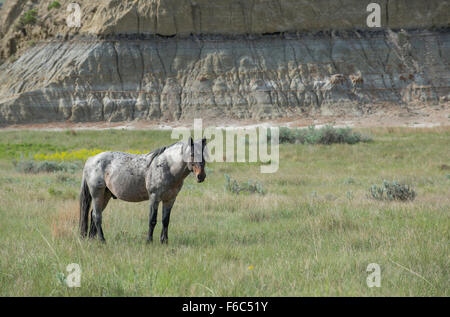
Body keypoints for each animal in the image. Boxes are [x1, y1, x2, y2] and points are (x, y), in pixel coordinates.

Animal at [79, 137, 207, 243]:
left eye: (204, 155)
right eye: (192, 154)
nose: (201, 176)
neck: (167, 166)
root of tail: (91, 159)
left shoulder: (170, 199)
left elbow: (165, 220)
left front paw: (164, 241)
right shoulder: (154, 197)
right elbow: (152, 220)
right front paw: (149, 241)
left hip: (105, 195)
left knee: (93, 215)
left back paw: (92, 239)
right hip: (97, 194)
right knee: (97, 216)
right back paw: (102, 240)